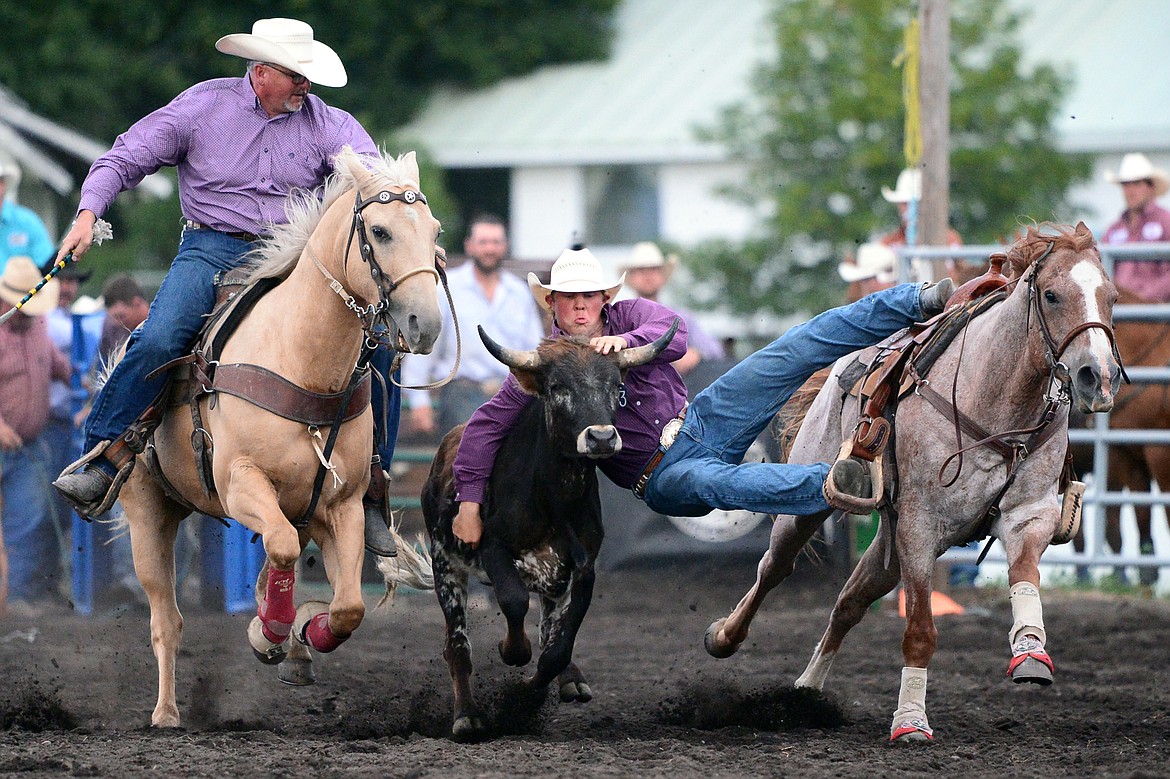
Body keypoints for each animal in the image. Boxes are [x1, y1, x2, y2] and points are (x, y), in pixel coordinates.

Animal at [116, 148, 442, 725]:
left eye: (434, 232)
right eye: (380, 231)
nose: (424, 324)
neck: (302, 361)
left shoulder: (342, 506)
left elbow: (348, 606)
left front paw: (301, 630)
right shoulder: (241, 484)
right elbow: (284, 551)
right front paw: (269, 630)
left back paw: (292, 647)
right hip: (147, 512)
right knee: (166, 619)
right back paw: (167, 712)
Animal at [702, 219, 1123, 739]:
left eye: (1112, 297)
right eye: (1051, 295)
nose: (1097, 377)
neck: (996, 401)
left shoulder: (1029, 517)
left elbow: (1024, 578)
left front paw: (1030, 652)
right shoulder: (920, 529)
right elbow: (920, 630)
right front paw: (909, 720)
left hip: (889, 544)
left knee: (849, 601)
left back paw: (806, 690)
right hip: (811, 506)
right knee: (774, 568)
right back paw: (724, 637)